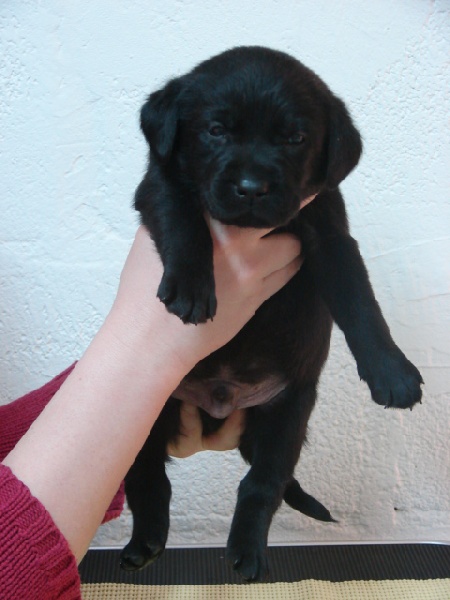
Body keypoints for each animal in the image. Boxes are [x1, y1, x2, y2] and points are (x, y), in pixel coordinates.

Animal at [120, 46, 423, 582]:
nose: (251, 187)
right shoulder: (159, 182)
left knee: (264, 483)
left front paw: (392, 372)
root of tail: (220, 403)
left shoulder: (330, 231)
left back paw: (246, 551)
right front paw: (192, 286)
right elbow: (183, 216)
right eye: (216, 130)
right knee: (148, 476)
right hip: (145, 415)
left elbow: (362, 304)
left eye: (296, 138)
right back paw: (146, 541)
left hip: (287, 414)